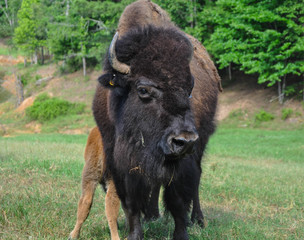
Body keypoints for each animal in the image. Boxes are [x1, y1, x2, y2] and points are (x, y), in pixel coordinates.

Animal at [69, 0, 221, 239]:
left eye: (189, 90)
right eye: (143, 89)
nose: (184, 140)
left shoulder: (181, 162)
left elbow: (178, 200)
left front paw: (181, 233)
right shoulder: (120, 163)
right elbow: (131, 202)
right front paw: (135, 233)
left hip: (200, 145)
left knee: (196, 179)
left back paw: (198, 219)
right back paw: (152, 215)